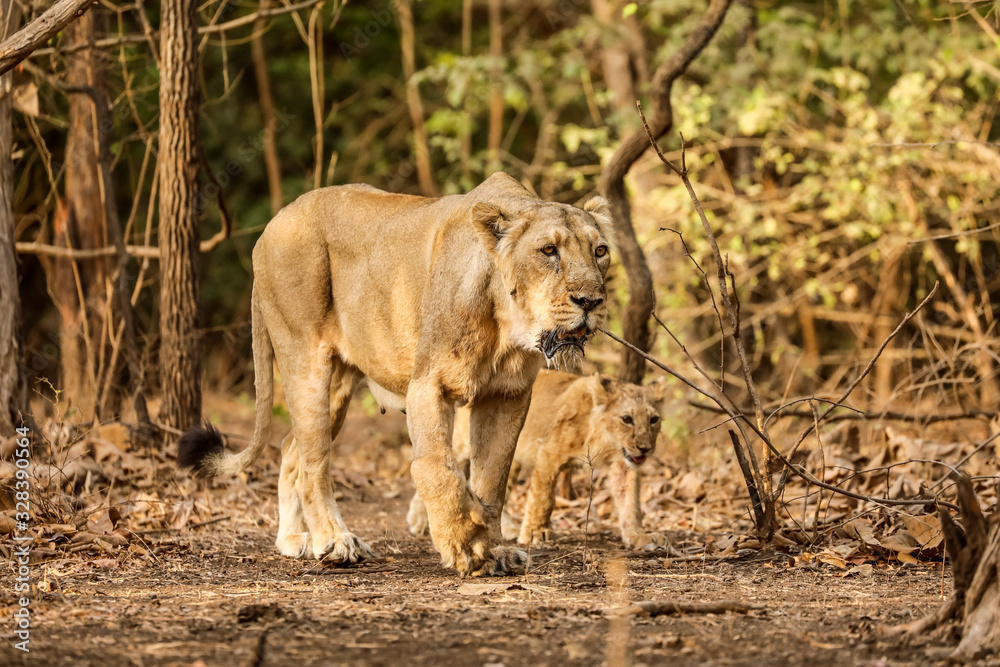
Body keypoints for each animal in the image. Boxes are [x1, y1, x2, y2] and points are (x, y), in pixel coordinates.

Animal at [177, 172, 614, 577]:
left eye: (601, 251)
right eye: (548, 250)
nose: (591, 301)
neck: (509, 324)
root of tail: (270, 227)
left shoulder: (507, 395)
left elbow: (491, 479)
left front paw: (495, 548)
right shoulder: (429, 383)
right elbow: (437, 467)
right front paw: (464, 545)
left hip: (338, 386)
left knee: (290, 450)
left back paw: (295, 540)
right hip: (305, 360)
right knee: (314, 464)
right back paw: (335, 542)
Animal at [407, 370, 669, 549]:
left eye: (653, 420)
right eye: (627, 419)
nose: (645, 449)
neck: (606, 440)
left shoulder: (625, 464)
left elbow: (630, 502)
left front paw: (639, 535)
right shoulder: (549, 451)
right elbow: (543, 498)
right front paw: (535, 534)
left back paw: (508, 527)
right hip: (463, 443)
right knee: (431, 463)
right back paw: (418, 520)